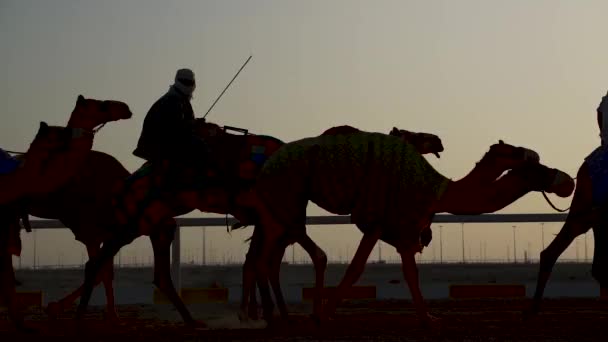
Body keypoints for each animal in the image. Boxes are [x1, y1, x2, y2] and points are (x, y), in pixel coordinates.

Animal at [0, 93, 133, 332]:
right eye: (100, 105)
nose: (125, 108)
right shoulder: (90, 230)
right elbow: (98, 271)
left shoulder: (105, 232)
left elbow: (103, 271)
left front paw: (113, 317)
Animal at [239, 131, 576, 326]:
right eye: (532, 166)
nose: (567, 182)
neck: (438, 189)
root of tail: (264, 168)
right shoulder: (378, 219)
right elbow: (357, 267)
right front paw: (327, 313)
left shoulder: (404, 225)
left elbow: (410, 270)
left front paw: (427, 316)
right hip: (287, 198)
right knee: (275, 256)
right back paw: (274, 316)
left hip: (280, 206)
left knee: (263, 258)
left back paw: (272, 316)